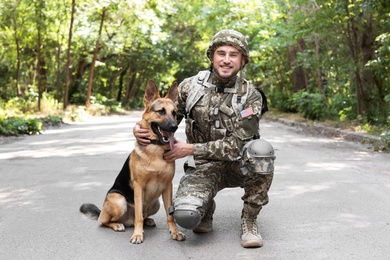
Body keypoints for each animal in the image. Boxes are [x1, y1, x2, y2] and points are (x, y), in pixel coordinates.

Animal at [79, 79, 186, 244]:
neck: (156, 148)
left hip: (156, 203)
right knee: (105, 221)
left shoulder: (168, 186)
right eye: (161, 111)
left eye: (174, 113)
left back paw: (147, 221)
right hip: (119, 200)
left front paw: (175, 232)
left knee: (143, 215)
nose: (174, 127)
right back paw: (117, 225)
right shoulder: (138, 186)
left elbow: (170, 215)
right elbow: (138, 217)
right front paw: (137, 235)